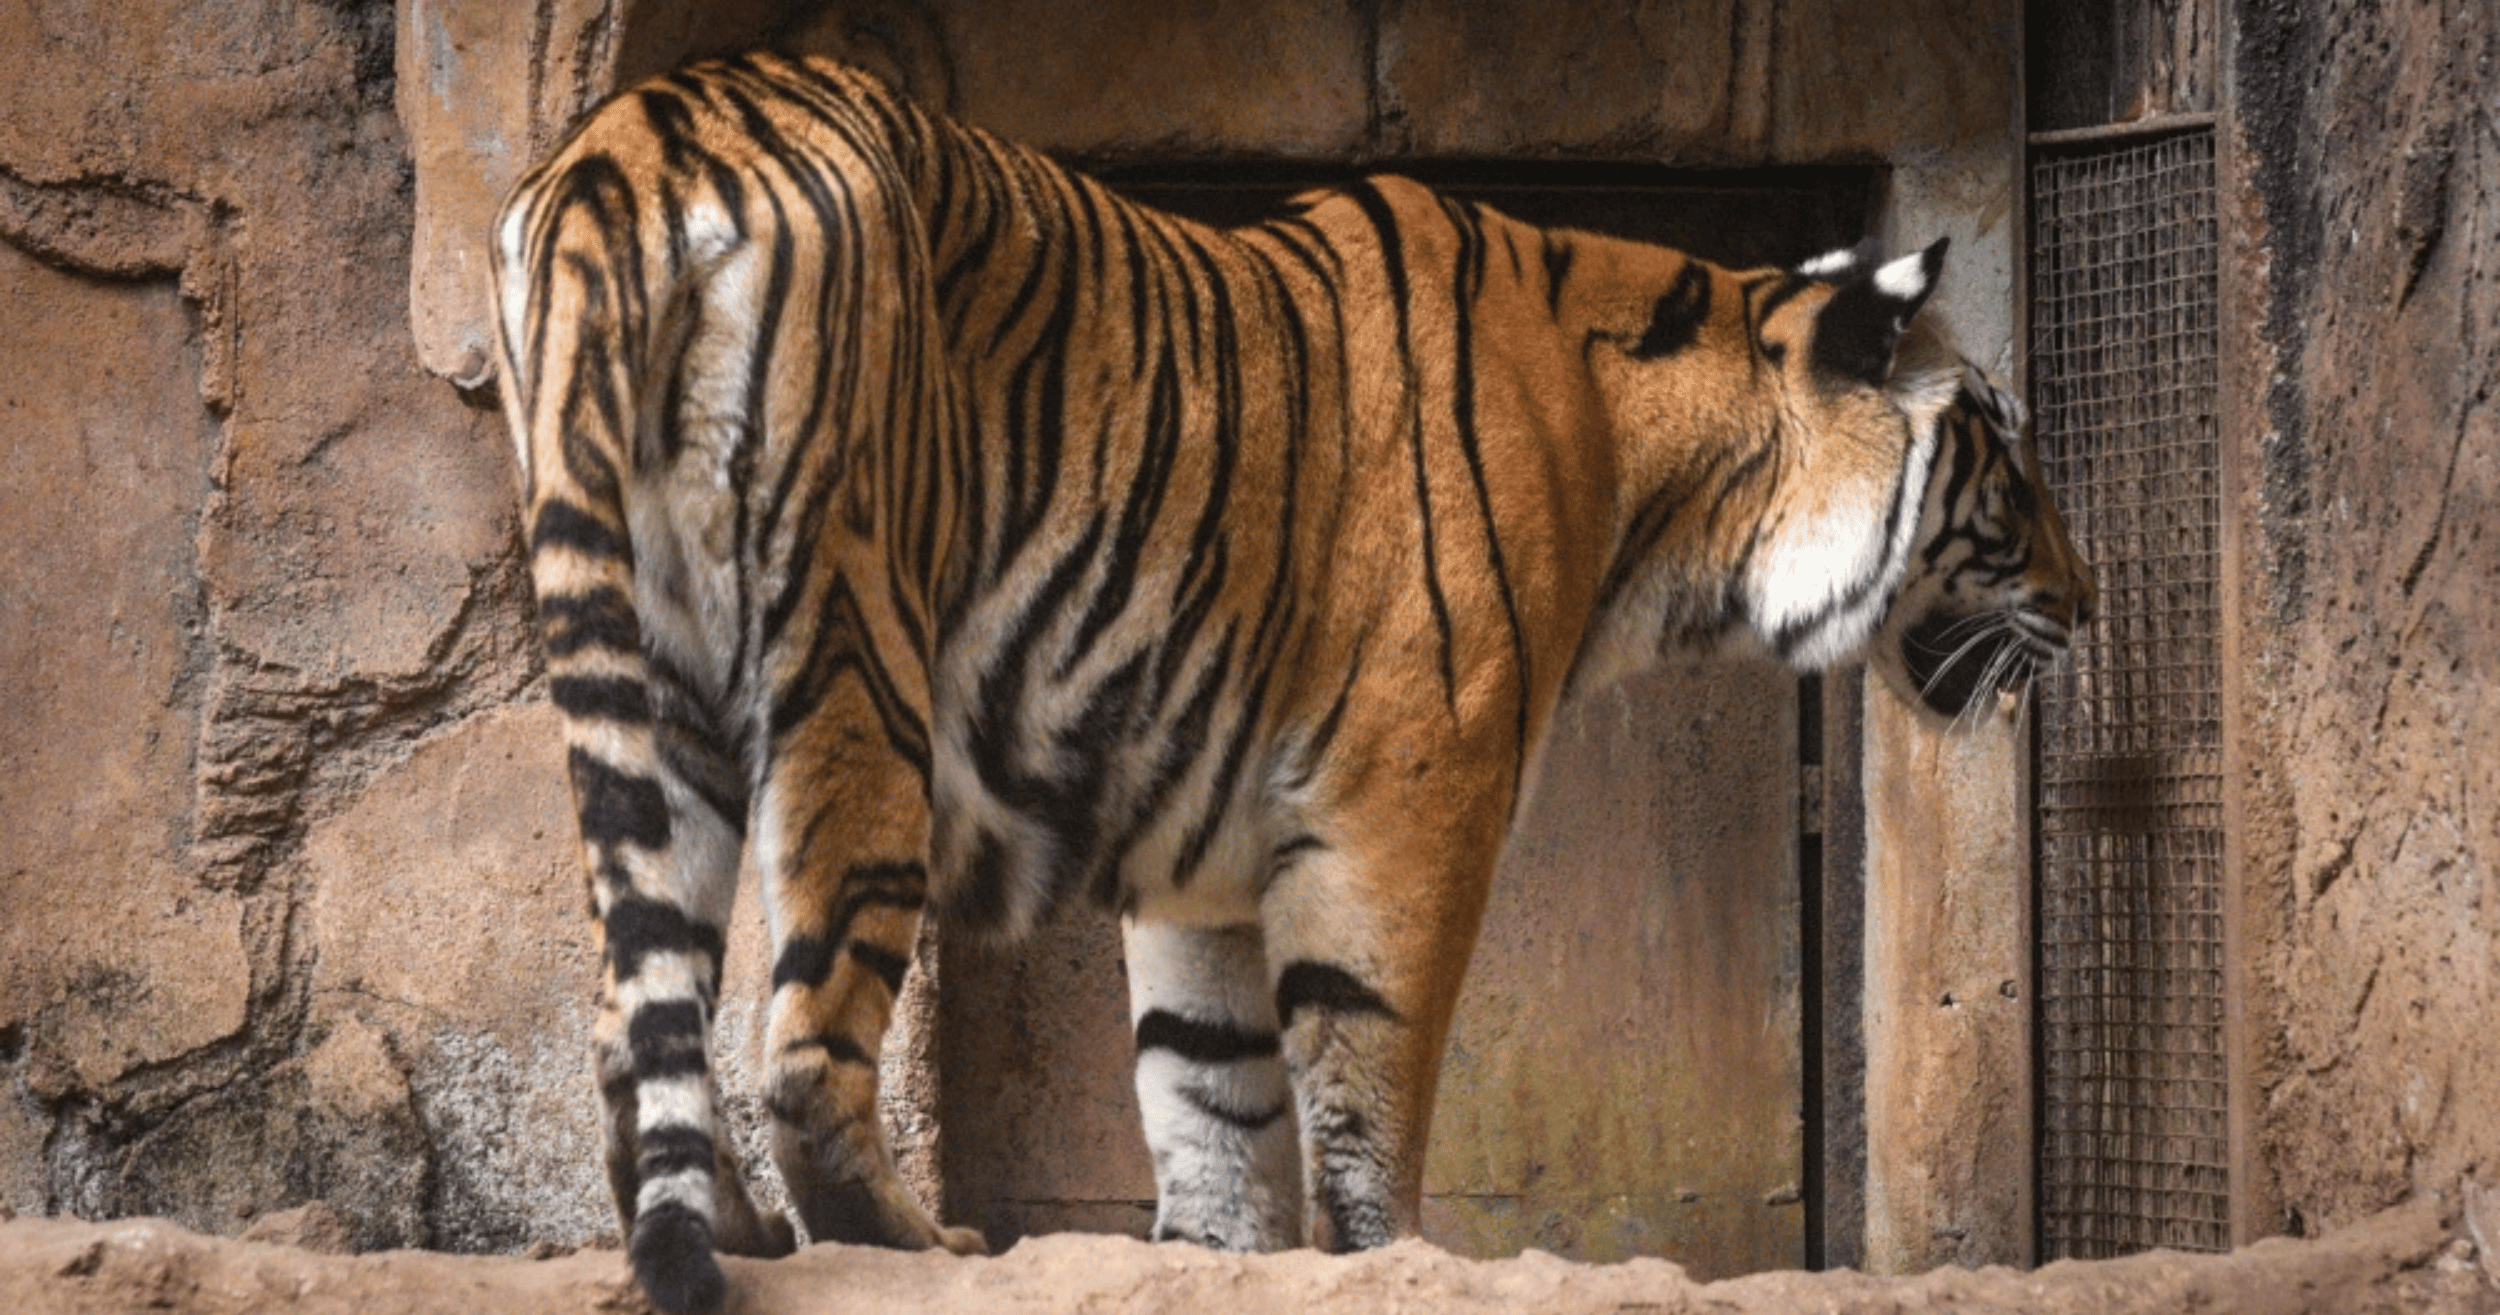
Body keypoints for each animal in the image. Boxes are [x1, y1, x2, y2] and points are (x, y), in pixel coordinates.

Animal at [488, 50, 2090, 1314]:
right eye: (2006, 454)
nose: (2083, 609)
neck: (1668, 496)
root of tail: (636, 135)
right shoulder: (1413, 801)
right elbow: (1368, 1077)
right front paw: (1387, 1256)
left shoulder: (1200, 840)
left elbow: (1208, 1090)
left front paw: (1211, 1257)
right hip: (854, 653)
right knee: (804, 1055)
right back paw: (910, 1245)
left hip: (656, 681)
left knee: (628, 1021)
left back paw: (736, 1234)